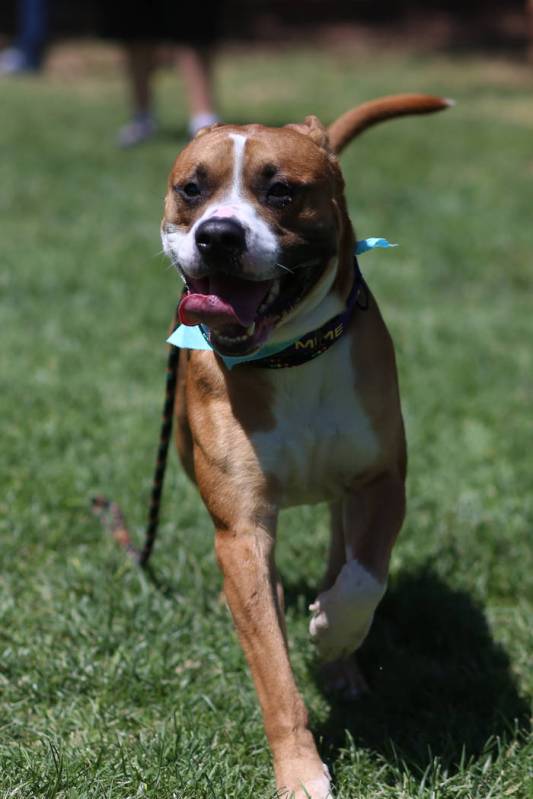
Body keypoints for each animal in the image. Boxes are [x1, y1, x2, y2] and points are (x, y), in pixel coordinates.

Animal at [161, 95, 448, 799]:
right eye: (192, 189)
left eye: (282, 191)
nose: (218, 235)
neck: (289, 356)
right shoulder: (242, 529)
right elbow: (273, 671)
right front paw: (301, 772)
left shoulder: (381, 480)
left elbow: (365, 577)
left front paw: (332, 632)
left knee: (342, 550)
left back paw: (339, 657)